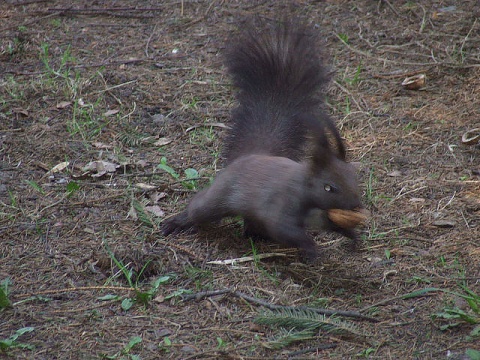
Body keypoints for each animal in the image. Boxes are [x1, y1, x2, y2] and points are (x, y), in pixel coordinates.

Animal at [162, 20, 364, 258]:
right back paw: (179, 222)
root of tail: (252, 155)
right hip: (220, 196)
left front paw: (351, 235)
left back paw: (254, 233)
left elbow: (327, 224)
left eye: (353, 176)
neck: (303, 188)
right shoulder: (280, 204)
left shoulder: (318, 215)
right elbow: (282, 227)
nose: (356, 205)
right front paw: (311, 248)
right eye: (328, 188)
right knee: (200, 206)